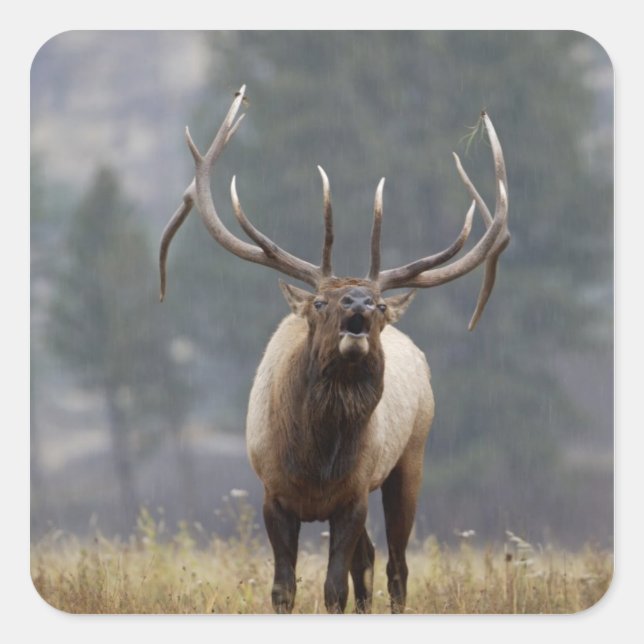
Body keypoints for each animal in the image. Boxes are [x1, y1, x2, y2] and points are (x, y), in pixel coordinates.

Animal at [159, 86, 509, 614]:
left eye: (381, 305)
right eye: (320, 301)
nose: (359, 301)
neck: (316, 463)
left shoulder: (353, 496)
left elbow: (334, 588)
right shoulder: (273, 494)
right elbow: (284, 588)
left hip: (411, 458)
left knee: (395, 565)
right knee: (370, 560)